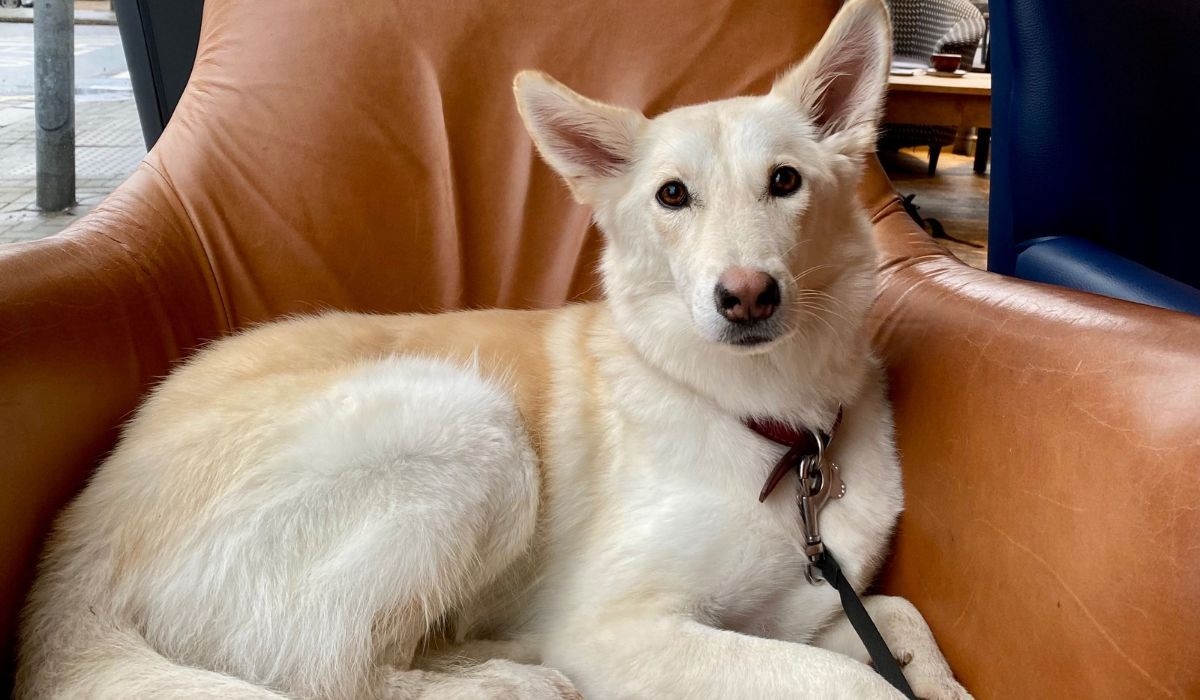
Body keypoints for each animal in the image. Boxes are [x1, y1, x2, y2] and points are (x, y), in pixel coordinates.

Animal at [18, 2, 969, 696]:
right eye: (672, 196)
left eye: (785, 181)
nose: (745, 296)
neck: (766, 422)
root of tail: (75, 561)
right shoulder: (615, 628)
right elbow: (855, 684)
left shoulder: (803, 609)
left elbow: (899, 620)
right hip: (470, 427)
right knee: (325, 672)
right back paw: (504, 683)